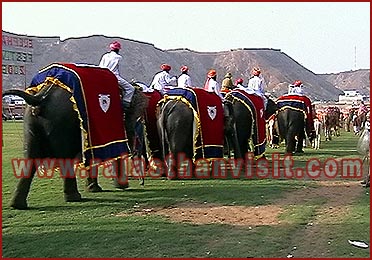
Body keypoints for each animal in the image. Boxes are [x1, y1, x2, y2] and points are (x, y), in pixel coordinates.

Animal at [3, 64, 148, 210]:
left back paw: (17, 205)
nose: (139, 182)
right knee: (64, 158)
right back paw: (74, 197)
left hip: (30, 121)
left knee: (30, 157)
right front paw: (121, 186)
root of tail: (40, 96)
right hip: (61, 123)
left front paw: (95, 189)